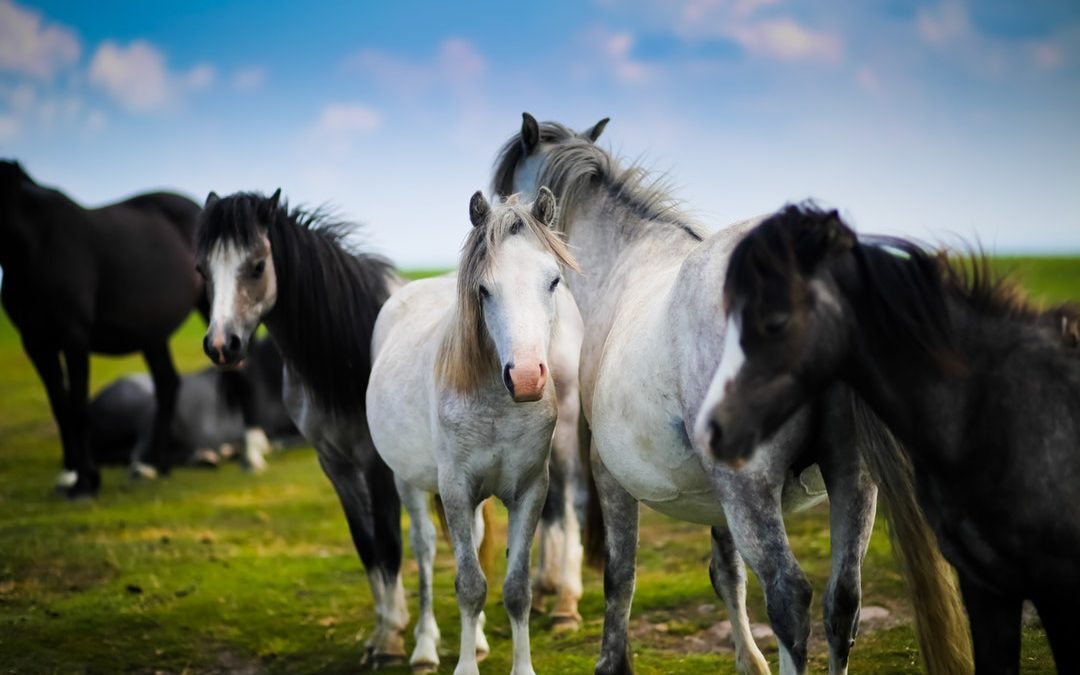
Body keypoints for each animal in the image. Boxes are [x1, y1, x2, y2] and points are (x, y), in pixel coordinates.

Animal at [0, 160, 203, 498]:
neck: (37, 243)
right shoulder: (36, 341)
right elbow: (60, 406)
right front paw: (69, 473)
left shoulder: (74, 337)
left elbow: (78, 407)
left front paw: (85, 481)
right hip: (151, 334)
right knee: (167, 383)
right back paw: (155, 464)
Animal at [195, 189, 409, 666]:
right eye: (201, 269)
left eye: (258, 265)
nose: (221, 346)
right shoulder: (336, 465)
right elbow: (367, 544)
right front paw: (383, 631)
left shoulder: (376, 465)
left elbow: (388, 542)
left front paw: (390, 642)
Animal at [366, 188, 580, 675]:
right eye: (484, 289)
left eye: (553, 281)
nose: (526, 378)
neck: (498, 406)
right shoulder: (456, 490)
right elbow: (469, 585)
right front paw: (464, 666)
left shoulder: (529, 491)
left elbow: (516, 588)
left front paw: (520, 666)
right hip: (408, 482)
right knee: (425, 551)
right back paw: (425, 648)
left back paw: (478, 639)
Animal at [493, 115, 971, 675]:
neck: (626, 262)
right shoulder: (714, 496)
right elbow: (727, 574)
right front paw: (749, 660)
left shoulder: (611, 475)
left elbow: (620, 575)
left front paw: (612, 661)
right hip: (852, 480)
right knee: (842, 602)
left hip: (751, 488)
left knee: (790, 598)